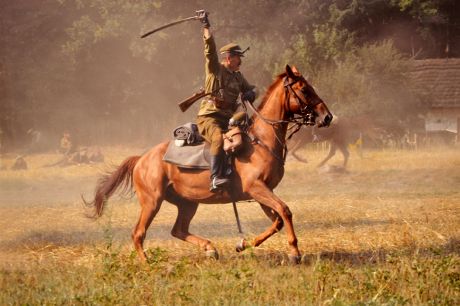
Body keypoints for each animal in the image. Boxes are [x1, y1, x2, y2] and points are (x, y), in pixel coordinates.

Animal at [84, 65, 332, 262]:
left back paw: (210, 248)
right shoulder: (257, 188)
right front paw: (294, 252)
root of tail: (141, 159)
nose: (327, 117)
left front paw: (245, 244)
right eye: (304, 89)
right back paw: (147, 264)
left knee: (178, 230)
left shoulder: (262, 191)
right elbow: (285, 211)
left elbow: (278, 220)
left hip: (187, 203)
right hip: (152, 202)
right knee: (138, 233)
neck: (261, 140)